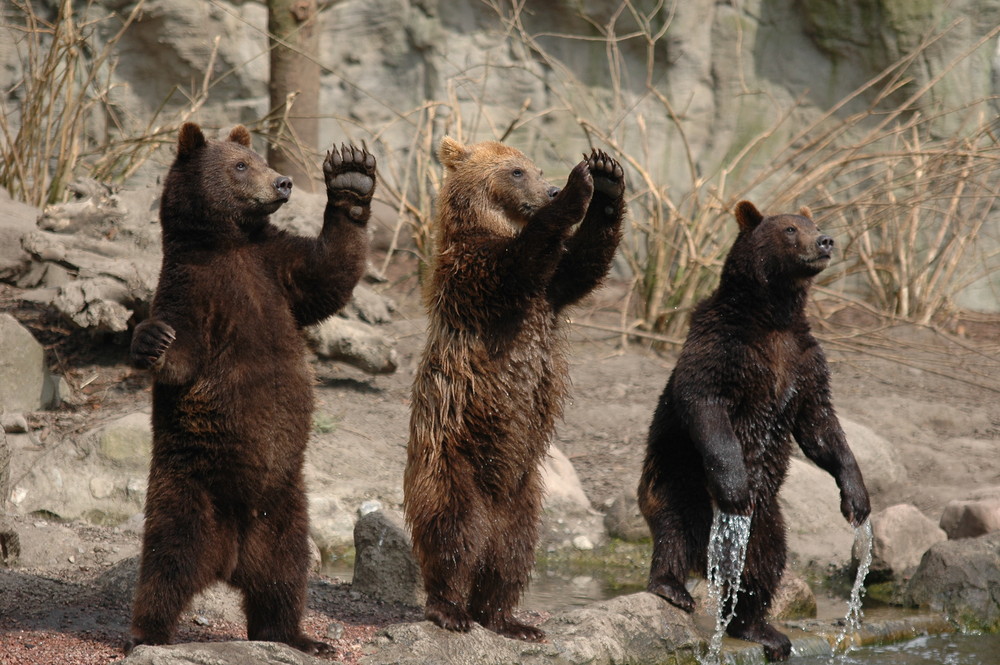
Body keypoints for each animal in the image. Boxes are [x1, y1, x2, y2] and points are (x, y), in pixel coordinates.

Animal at [126, 123, 376, 652]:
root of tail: (231, 557)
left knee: (285, 577)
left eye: (257, 157)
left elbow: (330, 272)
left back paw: (299, 637)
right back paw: (148, 633)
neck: (230, 244)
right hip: (189, 489)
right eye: (240, 165)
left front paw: (351, 176)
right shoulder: (194, 290)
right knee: (167, 562)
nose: (282, 182)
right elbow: (182, 356)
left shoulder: (275, 272)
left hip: (286, 507)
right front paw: (151, 339)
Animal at [404, 137, 624, 640]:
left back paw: (509, 619)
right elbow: (514, 263)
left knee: (511, 555)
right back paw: (450, 610)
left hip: (523, 494)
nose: (548, 188)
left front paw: (606, 178)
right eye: (516, 171)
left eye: (535, 168)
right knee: (453, 534)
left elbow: (584, 263)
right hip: (453, 462)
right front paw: (576, 191)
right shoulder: (472, 277)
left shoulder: (554, 291)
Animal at [640, 201, 868, 660]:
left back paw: (761, 629)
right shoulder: (724, 348)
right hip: (677, 475)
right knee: (673, 528)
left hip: (768, 516)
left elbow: (821, 427)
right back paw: (673, 588)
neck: (773, 314)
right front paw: (734, 486)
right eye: (790, 229)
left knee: (764, 561)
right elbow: (706, 404)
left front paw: (856, 498)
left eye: (813, 223)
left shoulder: (804, 362)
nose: (825, 240)